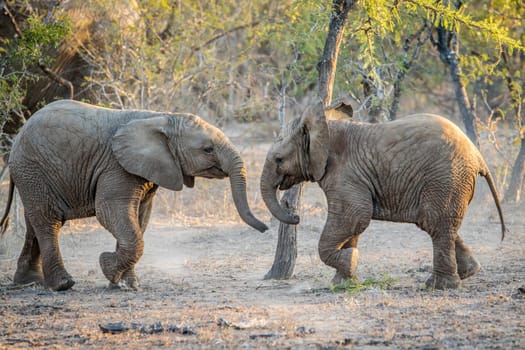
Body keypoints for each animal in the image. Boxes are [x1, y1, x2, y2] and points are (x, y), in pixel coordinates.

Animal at [0, 100, 268, 292]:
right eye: (208, 149)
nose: (266, 228)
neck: (162, 117)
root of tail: (17, 140)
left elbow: (139, 218)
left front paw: (125, 283)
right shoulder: (116, 166)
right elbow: (111, 212)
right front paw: (108, 268)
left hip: (32, 174)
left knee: (34, 222)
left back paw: (29, 281)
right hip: (32, 168)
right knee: (49, 221)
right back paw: (63, 285)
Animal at [260, 100, 506, 288]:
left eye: (279, 159)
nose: (296, 216)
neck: (326, 126)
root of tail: (477, 155)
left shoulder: (346, 174)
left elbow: (355, 215)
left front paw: (351, 261)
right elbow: (353, 225)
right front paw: (344, 282)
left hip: (446, 178)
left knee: (436, 224)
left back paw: (439, 287)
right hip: (451, 182)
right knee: (439, 225)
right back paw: (468, 273)